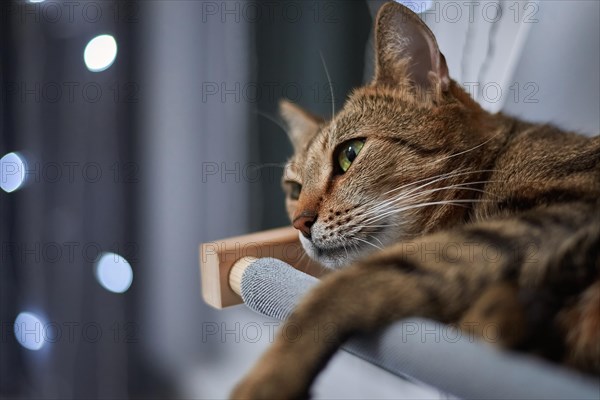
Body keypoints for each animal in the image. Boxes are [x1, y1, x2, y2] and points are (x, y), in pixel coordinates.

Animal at [232, 1, 596, 398]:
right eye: (294, 190)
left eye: (349, 154)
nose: (300, 222)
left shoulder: (561, 213)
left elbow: (344, 286)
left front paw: (267, 377)